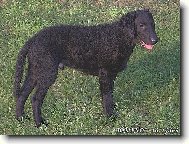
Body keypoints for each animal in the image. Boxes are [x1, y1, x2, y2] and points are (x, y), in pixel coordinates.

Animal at [14, 9, 158, 127]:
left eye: (153, 24)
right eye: (141, 25)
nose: (155, 40)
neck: (118, 36)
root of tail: (33, 39)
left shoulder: (112, 75)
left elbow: (110, 95)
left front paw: (113, 111)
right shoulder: (105, 74)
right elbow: (107, 97)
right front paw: (110, 118)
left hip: (35, 71)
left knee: (22, 95)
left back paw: (21, 119)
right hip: (47, 73)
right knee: (35, 99)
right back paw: (40, 123)